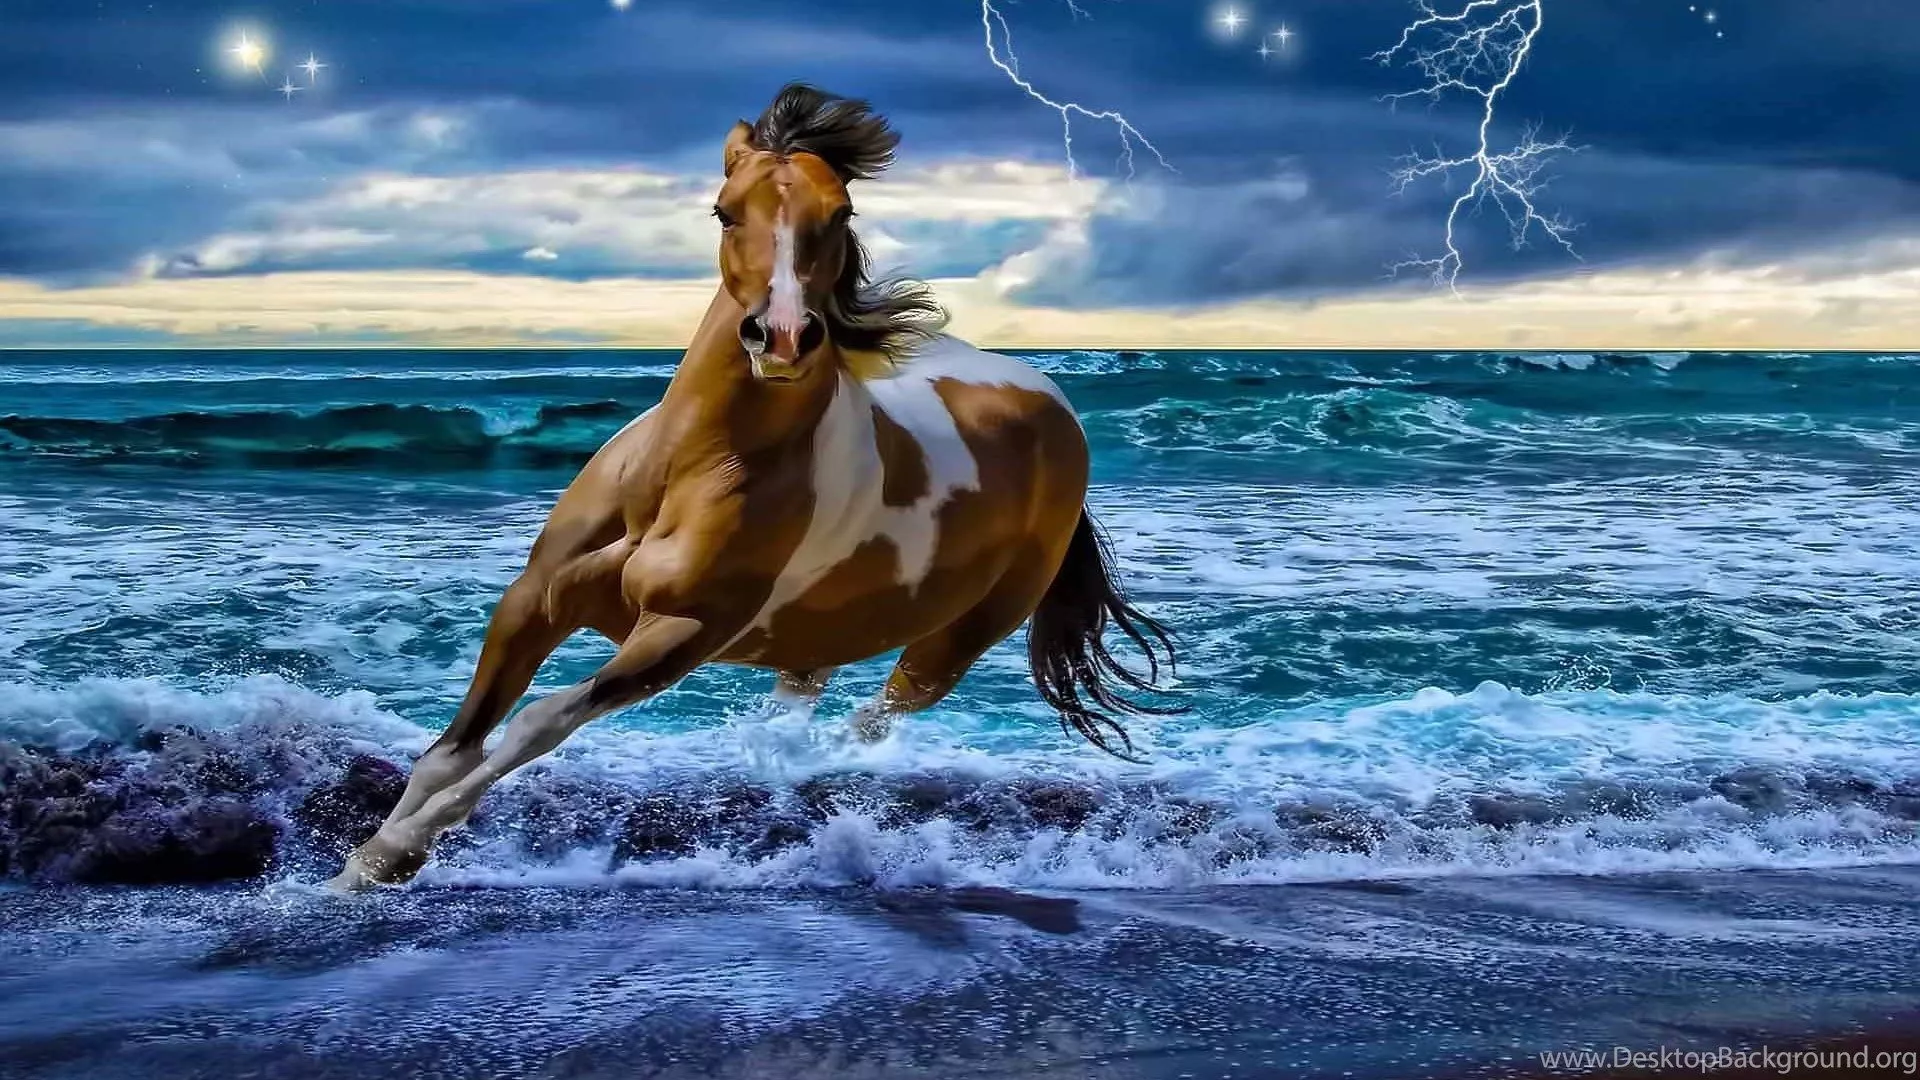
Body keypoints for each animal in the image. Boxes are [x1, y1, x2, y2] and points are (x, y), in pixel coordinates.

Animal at [328, 83, 1178, 892]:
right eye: (724, 210)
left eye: (840, 213)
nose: (784, 336)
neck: (686, 473)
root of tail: (1053, 405)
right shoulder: (533, 600)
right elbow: (453, 748)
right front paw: (351, 870)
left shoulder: (681, 633)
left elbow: (539, 722)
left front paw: (390, 855)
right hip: (822, 633)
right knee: (804, 699)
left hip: (956, 640)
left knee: (871, 720)